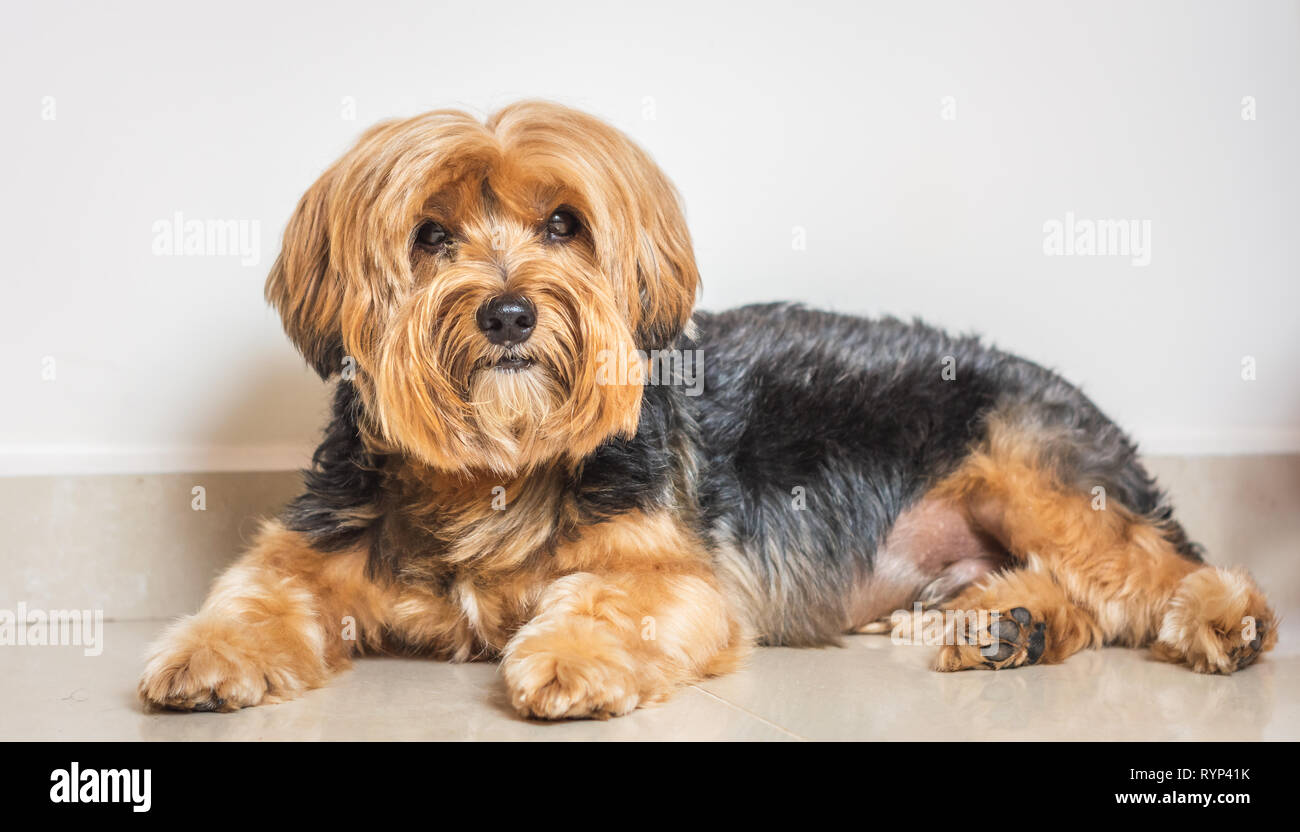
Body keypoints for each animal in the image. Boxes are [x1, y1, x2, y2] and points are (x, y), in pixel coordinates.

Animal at [137, 100, 1274, 717]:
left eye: (564, 224)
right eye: (428, 235)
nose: (508, 311)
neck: (499, 466)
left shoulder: (672, 574)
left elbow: (609, 599)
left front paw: (571, 656)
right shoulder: (314, 541)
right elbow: (259, 591)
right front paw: (203, 654)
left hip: (1031, 474)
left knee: (1146, 571)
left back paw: (1225, 618)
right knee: (1086, 597)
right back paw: (1007, 625)